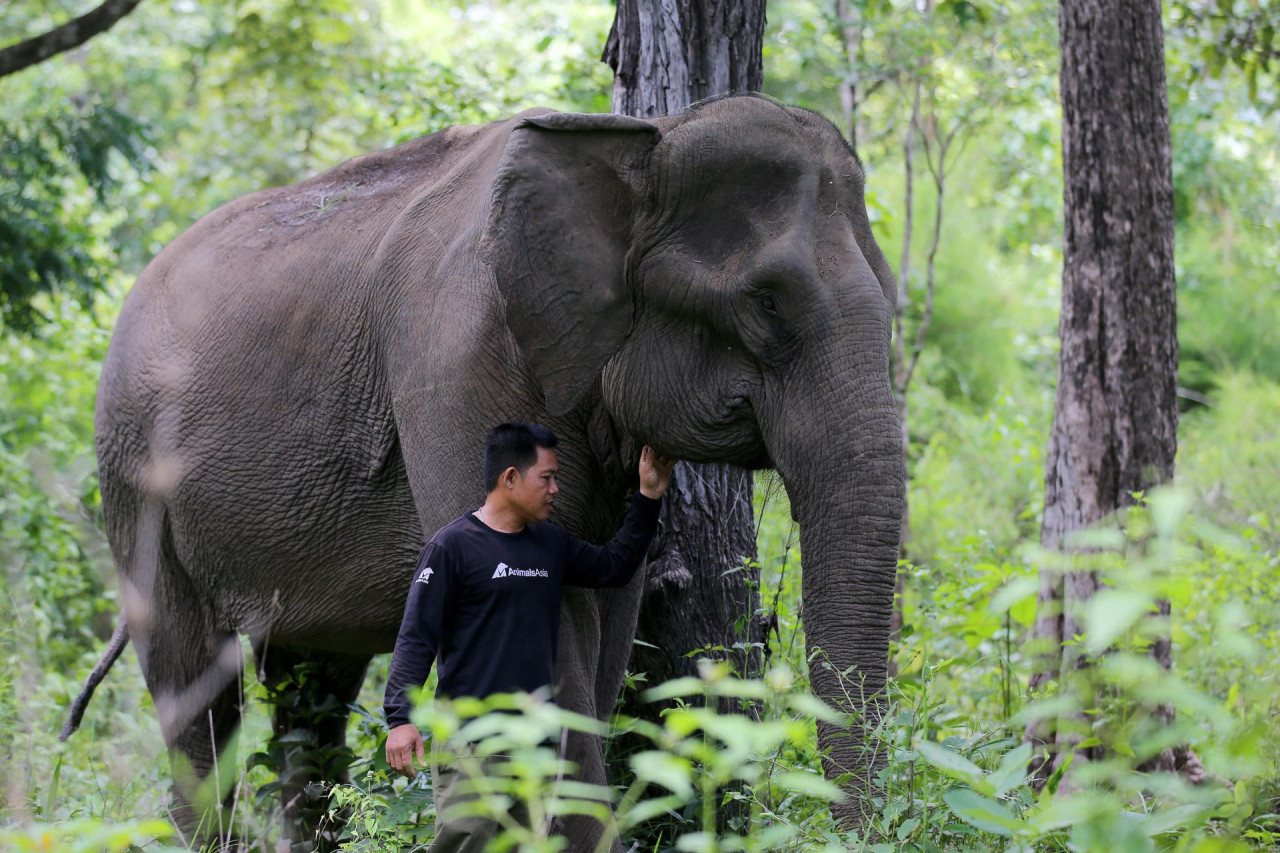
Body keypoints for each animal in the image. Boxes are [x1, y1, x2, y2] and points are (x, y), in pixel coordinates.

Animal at [70, 92, 906, 845]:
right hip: (135, 477)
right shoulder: (455, 360)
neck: (640, 136)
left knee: (311, 694)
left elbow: (606, 603)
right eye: (767, 304)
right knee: (194, 693)